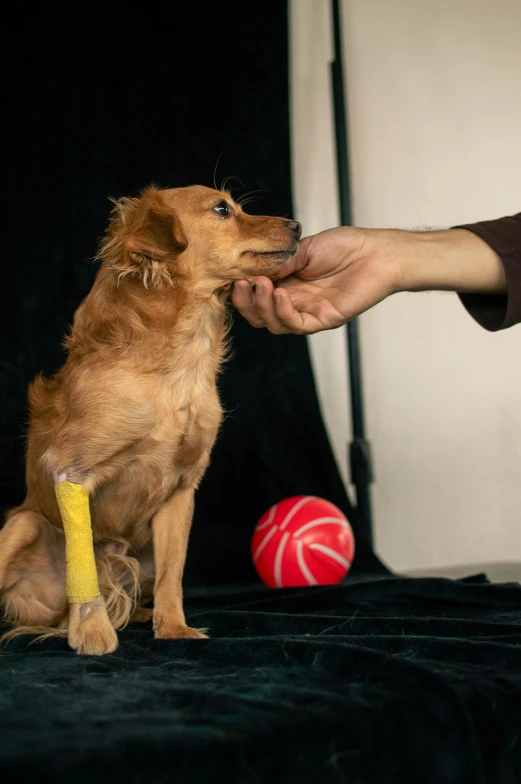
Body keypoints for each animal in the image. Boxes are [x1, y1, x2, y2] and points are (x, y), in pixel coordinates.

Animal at [0, 187, 300, 652]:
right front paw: (92, 631)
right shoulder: (71, 472)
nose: (297, 226)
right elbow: (83, 569)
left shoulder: (181, 490)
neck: (178, 364)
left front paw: (172, 627)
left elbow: (172, 573)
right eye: (221, 209)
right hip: (22, 523)